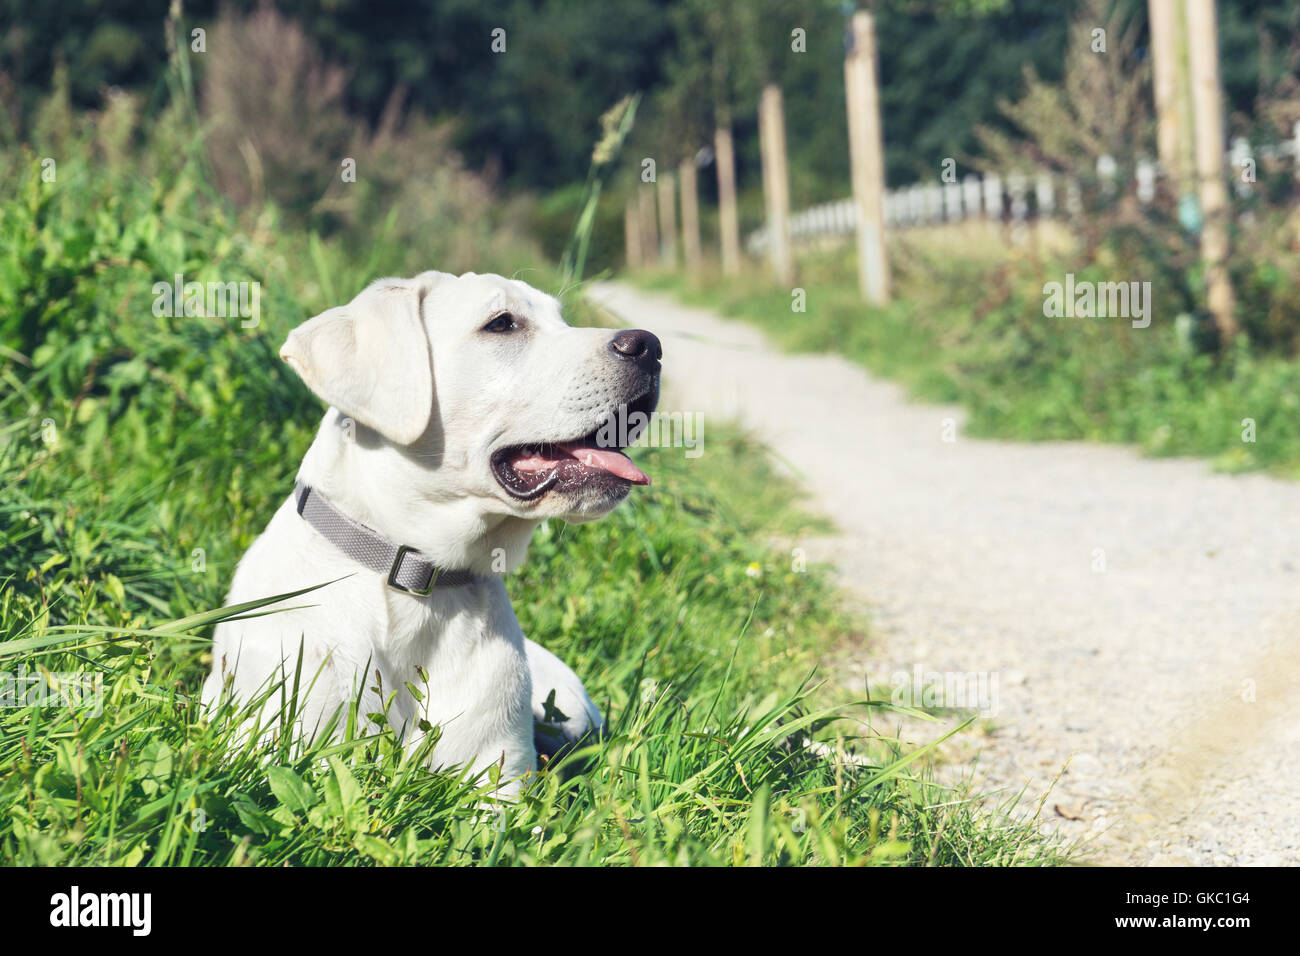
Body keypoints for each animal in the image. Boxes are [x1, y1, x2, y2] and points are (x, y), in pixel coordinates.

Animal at [206, 270, 665, 801]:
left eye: (563, 319)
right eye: (502, 323)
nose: (650, 346)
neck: (417, 585)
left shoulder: (500, 780)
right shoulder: (275, 745)